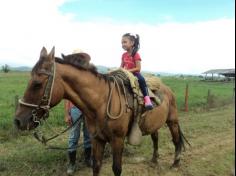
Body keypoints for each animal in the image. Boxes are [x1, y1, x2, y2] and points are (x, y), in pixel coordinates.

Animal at [14, 46, 188, 176]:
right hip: (153, 123)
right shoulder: (97, 139)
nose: (18, 121)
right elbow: (96, 166)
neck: (101, 102)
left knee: (176, 140)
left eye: (37, 84)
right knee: (155, 138)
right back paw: (154, 160)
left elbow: (117, 169)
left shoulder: (117, 140)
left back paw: (176, 163)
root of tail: (168, 90)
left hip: (172, 121)